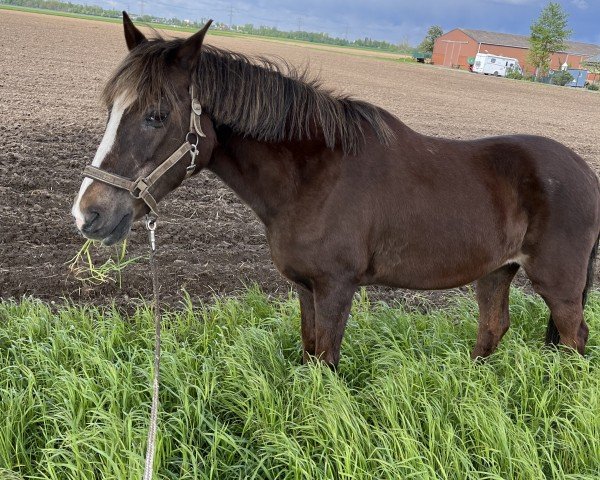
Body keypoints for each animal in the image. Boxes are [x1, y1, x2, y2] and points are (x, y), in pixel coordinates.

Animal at [72, 13, 600, 370]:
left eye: (156, 115)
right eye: (110, 109)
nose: (88, 214)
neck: (314, 178)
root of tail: (586, 173)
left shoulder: (335, 289)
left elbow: (325, 363)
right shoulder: (307, 290)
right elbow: (309, 355)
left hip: (559, 286)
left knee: (574, 338)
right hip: (495, 272)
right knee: (493, 329)